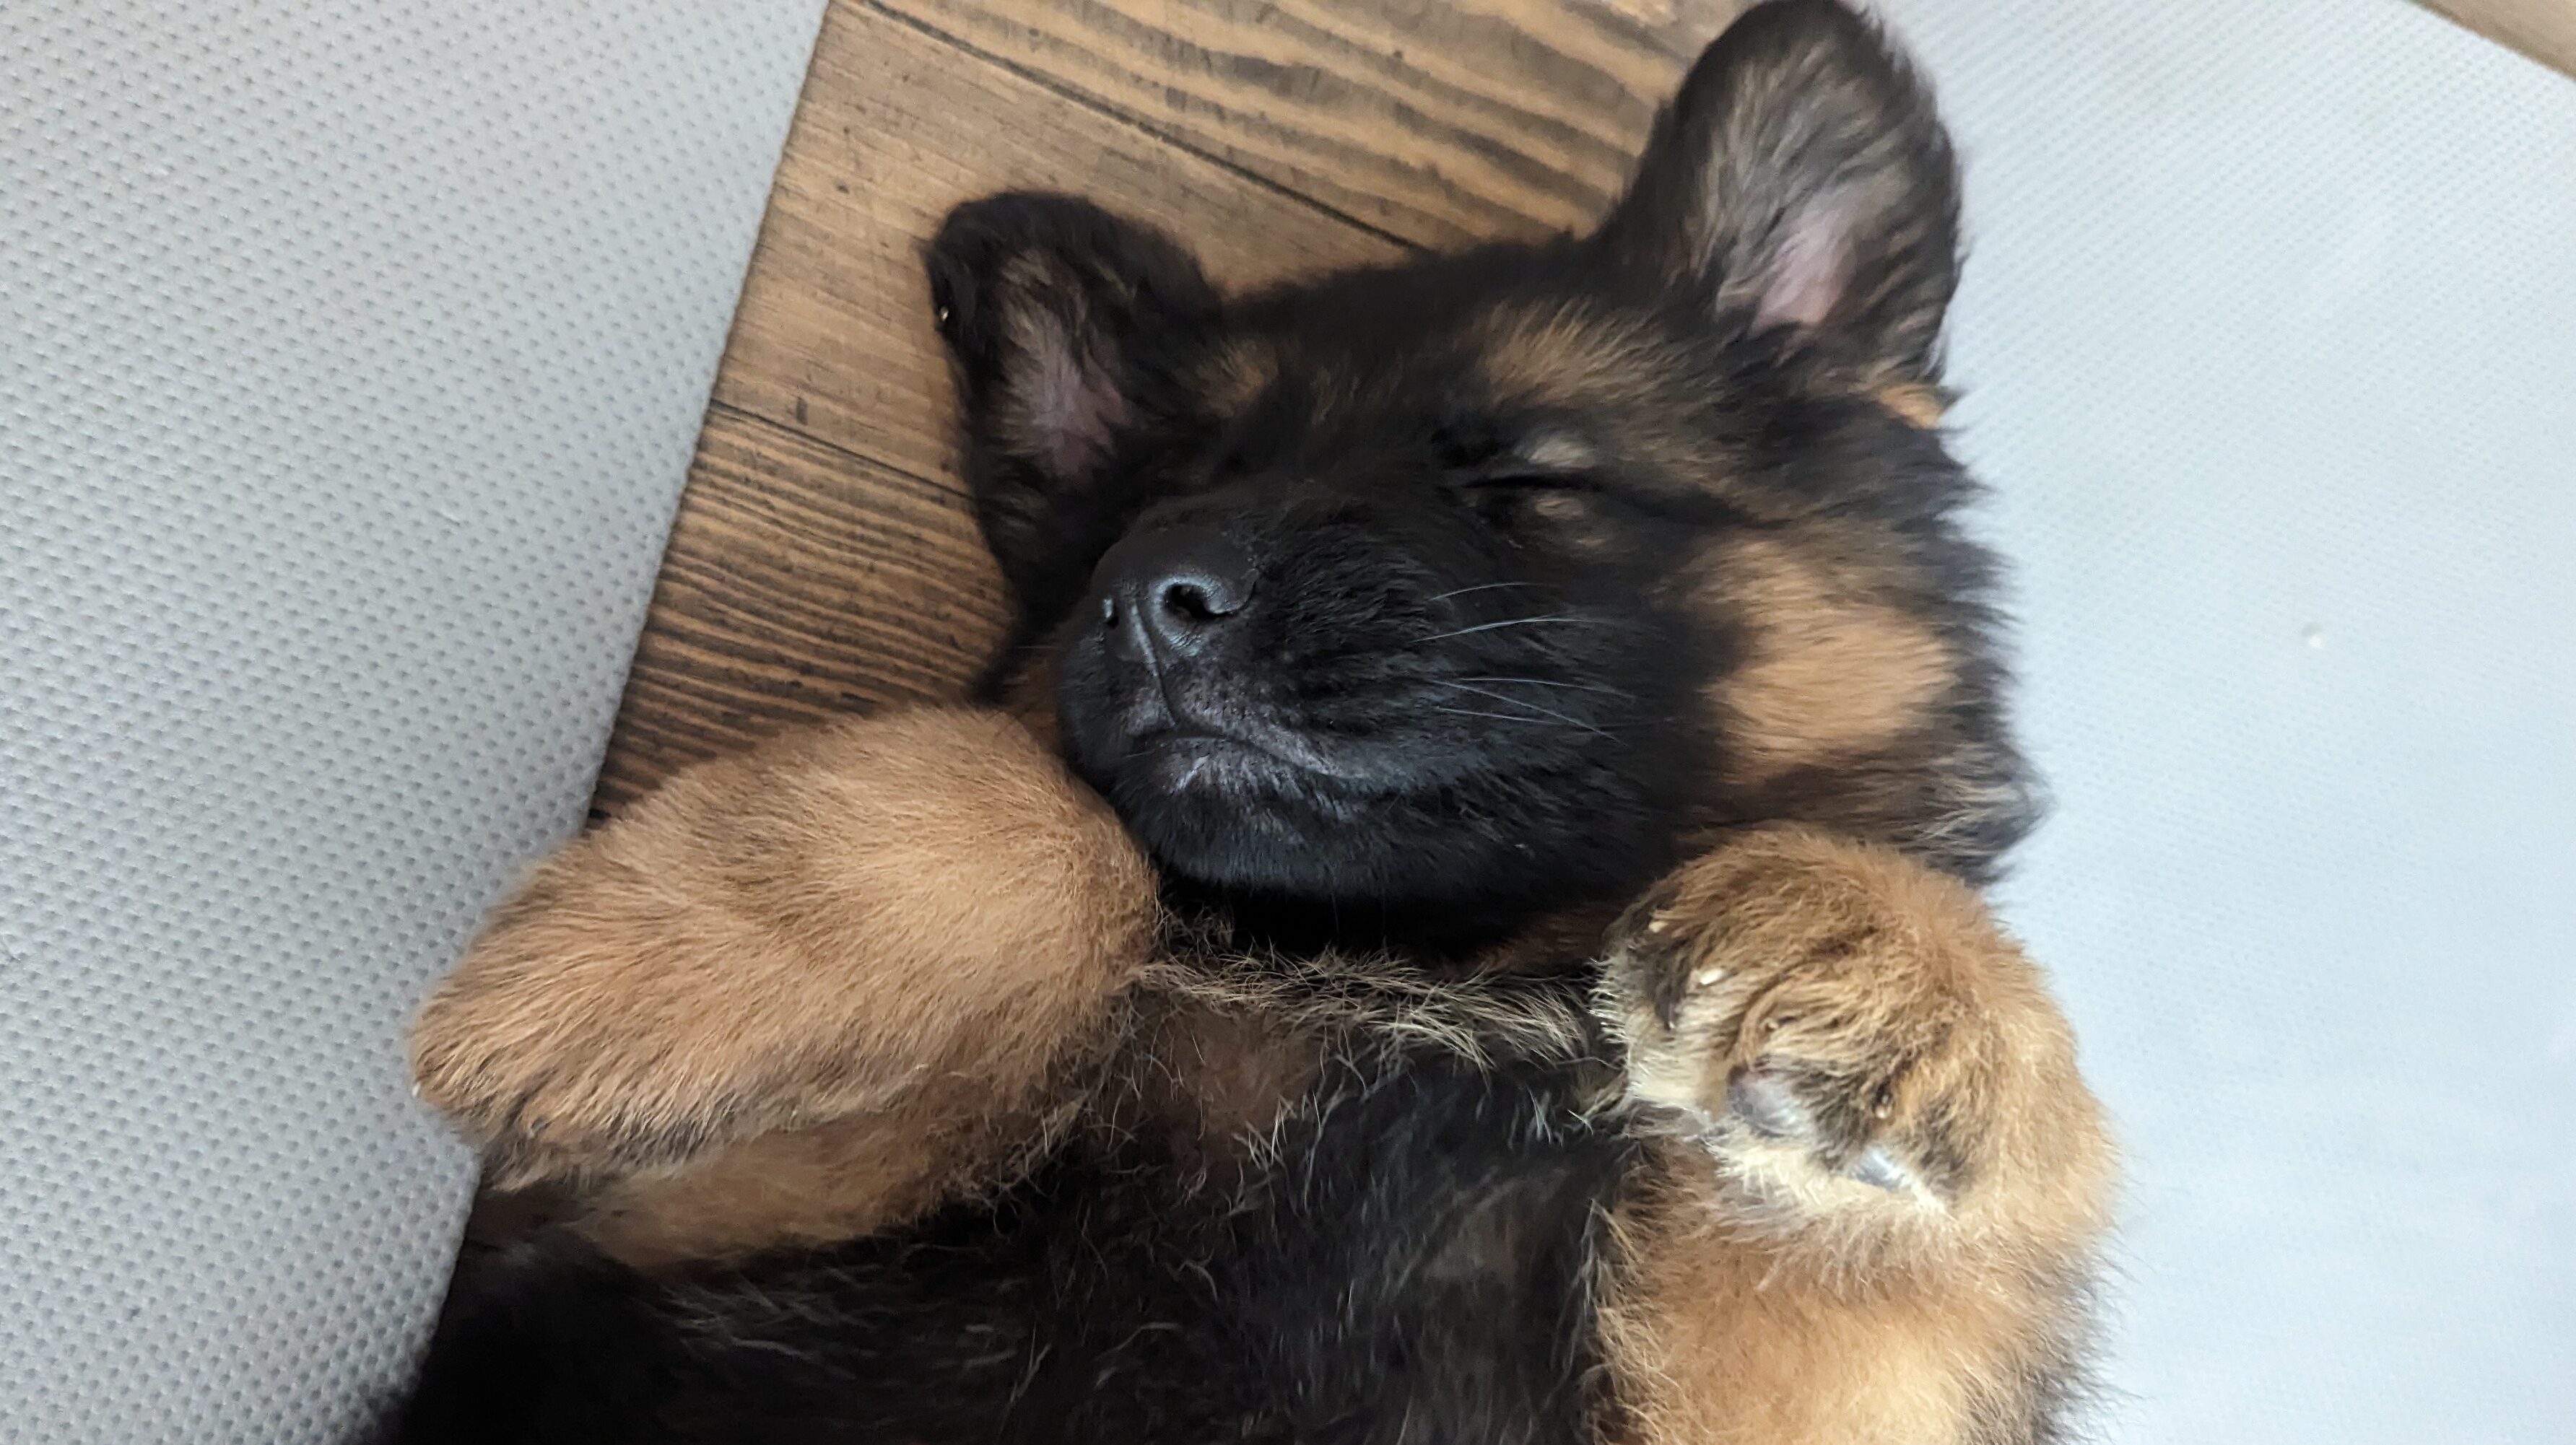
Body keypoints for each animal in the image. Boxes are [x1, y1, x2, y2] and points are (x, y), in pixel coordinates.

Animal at [386, 5, 2112, 1432]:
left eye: (1516, 478)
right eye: (1160, 497)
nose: (1150, 599)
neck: (1417, 979)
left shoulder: (1819, 1393)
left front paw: (1901, 973)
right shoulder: (685, 1223)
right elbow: (1067, 825)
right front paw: (661, 950)